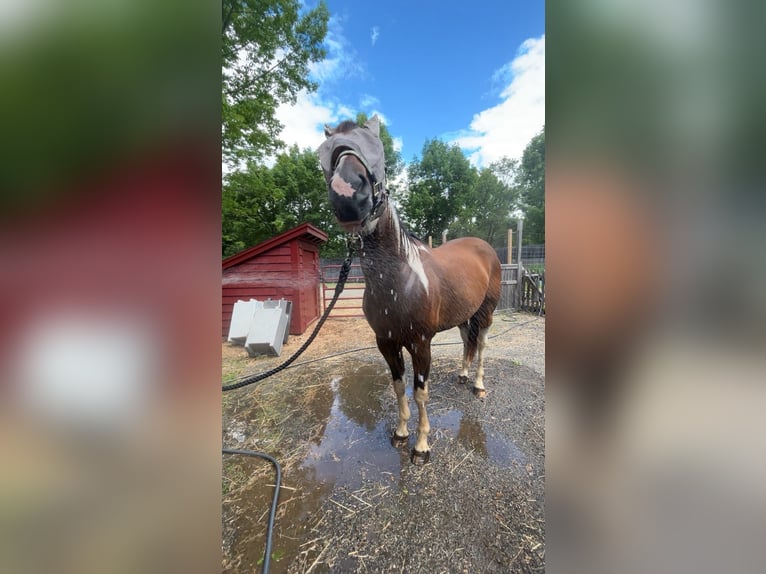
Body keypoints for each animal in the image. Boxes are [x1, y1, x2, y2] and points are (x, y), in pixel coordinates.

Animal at [318, 116, 502, 464]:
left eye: (378, 151)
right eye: (325, 153)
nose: (347, 195)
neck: (399, 281)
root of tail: (485, 246)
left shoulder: (420, 344)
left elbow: (420, 393)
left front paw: (422, 447)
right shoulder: (386, 343)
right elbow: (398, 387)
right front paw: (401, 434)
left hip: (486, 313)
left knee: (482, 344)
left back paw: (478, 385)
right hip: (463, 315)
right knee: (466, 341)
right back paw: (462, 375)